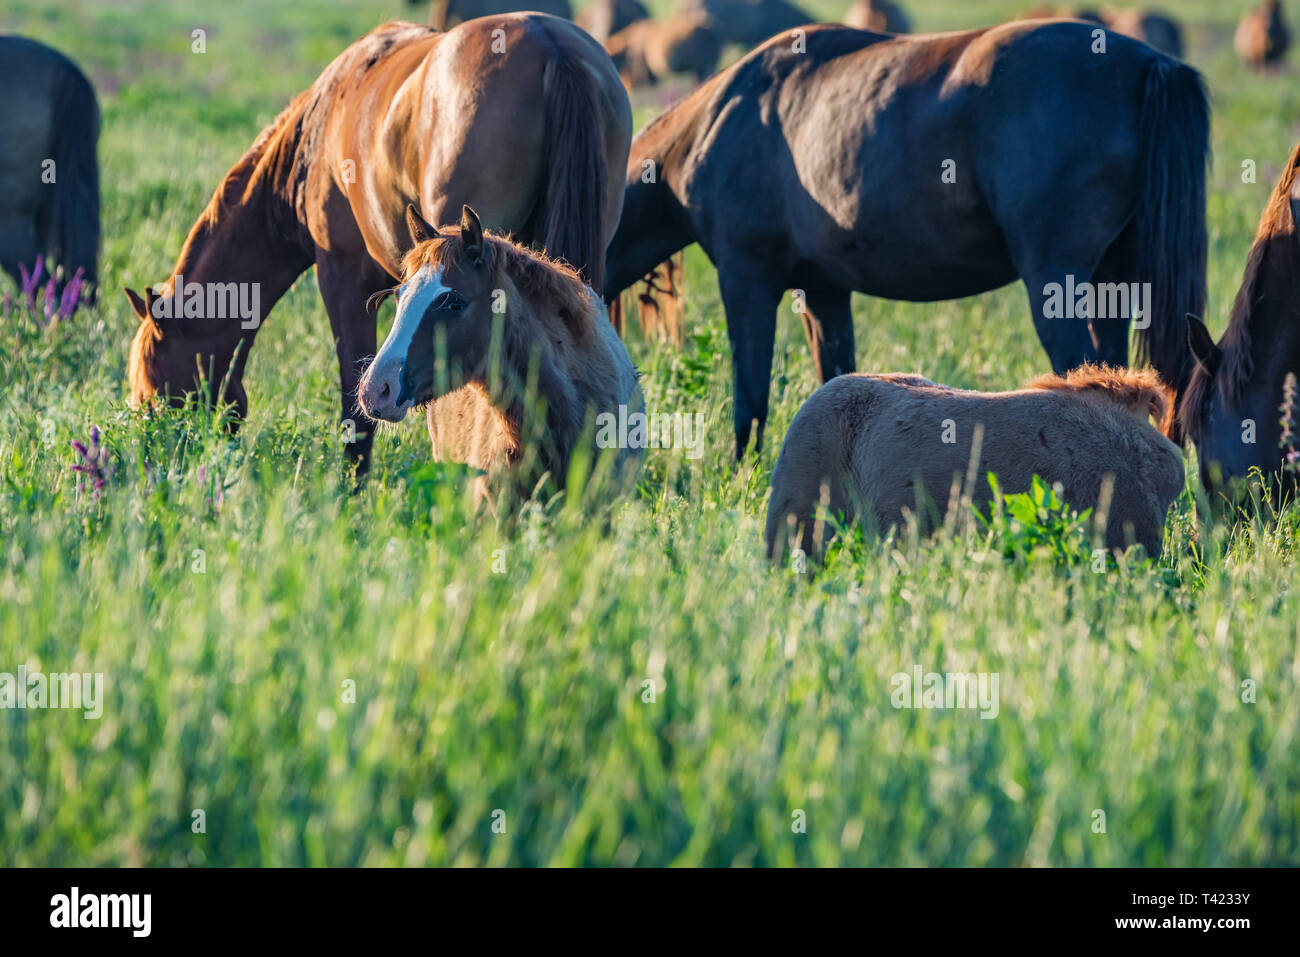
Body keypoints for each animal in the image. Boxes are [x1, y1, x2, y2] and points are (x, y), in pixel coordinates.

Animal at [125, 16, 631, 477]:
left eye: (152, 390)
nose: (154, 451)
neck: (312, 141)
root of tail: (551, 44)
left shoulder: (344, 277)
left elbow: (356, 405)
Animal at [604, 22, 1208, 458]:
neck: (717, 123)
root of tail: (1150, 64)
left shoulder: (747, 282)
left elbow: (749, 398)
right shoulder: (824, 294)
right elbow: (834, 377)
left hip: (1056, 283)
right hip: (1113, 283)